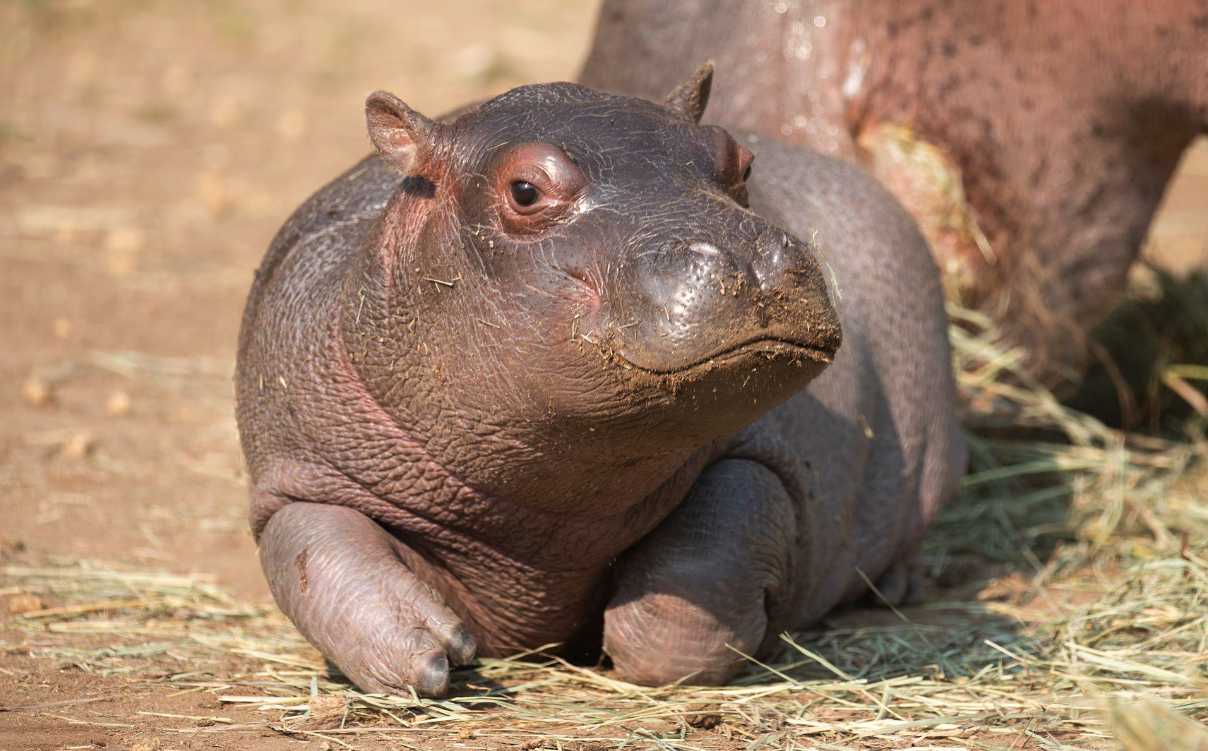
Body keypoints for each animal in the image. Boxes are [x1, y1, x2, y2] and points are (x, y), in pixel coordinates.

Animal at [235, 64, 966, 700]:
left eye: (739, 159)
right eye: (524, 190)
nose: (751, 256)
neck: (539, 507)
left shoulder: (758, 454)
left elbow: (697, 585)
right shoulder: (302, 470)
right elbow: (317, 552)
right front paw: (433, 651)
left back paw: (899, 587)